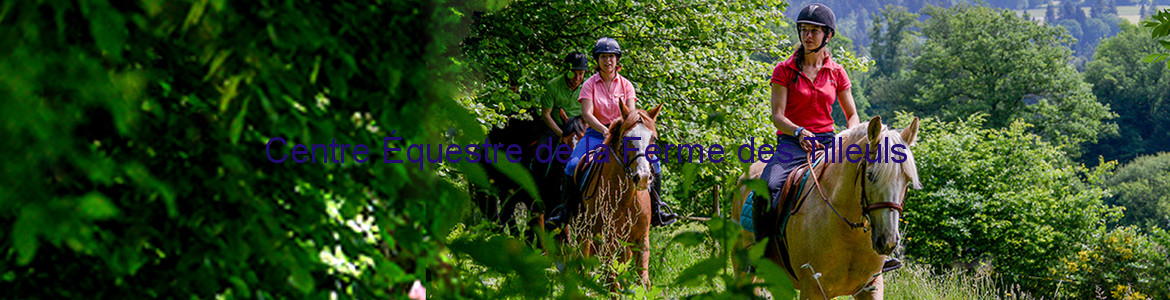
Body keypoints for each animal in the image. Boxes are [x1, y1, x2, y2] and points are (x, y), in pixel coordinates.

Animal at [570, 102, 664, 288]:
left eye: (654, 139)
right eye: (626, 138)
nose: (643, 177)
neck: (626, 199)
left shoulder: (641, 239)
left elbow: (643, 280)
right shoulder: (607, 240)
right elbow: (612, 282)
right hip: (584, 233)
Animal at [730, 116, 921, 298]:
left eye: (907, 180)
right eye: (871, 175)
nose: (888, 241)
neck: (849, 231)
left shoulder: (871, 287)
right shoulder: (812, 288)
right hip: (742, 269)